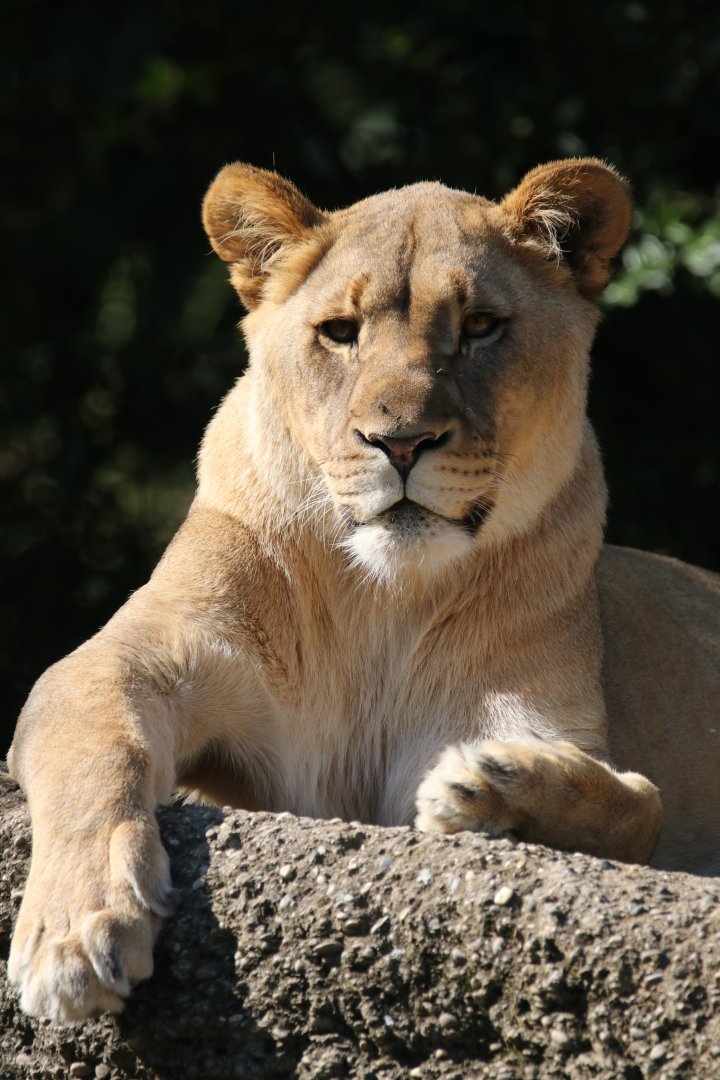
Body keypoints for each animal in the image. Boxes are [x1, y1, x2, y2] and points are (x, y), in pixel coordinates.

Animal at [7, 157, 720, 1022]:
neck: (381, 602)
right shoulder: (130, 661)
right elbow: (95, 752)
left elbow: (638, 804)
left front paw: (496, 784)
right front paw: (76, 933)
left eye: (481, 326)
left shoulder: (544, 718)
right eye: (341, 332)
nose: (401, 442)